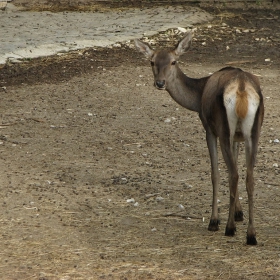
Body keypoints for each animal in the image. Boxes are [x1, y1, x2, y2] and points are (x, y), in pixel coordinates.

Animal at [135, 31, 264, 245]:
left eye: (174, 61)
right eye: (152, 62)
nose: (160, 83)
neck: (198, 95)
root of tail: (241, 88)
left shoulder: (209, 128)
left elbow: (215, 173)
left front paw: (215, 220)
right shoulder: (237, 136)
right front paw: (239, 213)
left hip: (223, 127)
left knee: (233, 174)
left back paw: (228, 227)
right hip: (254, 131)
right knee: (249, 176)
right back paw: (251, 234)